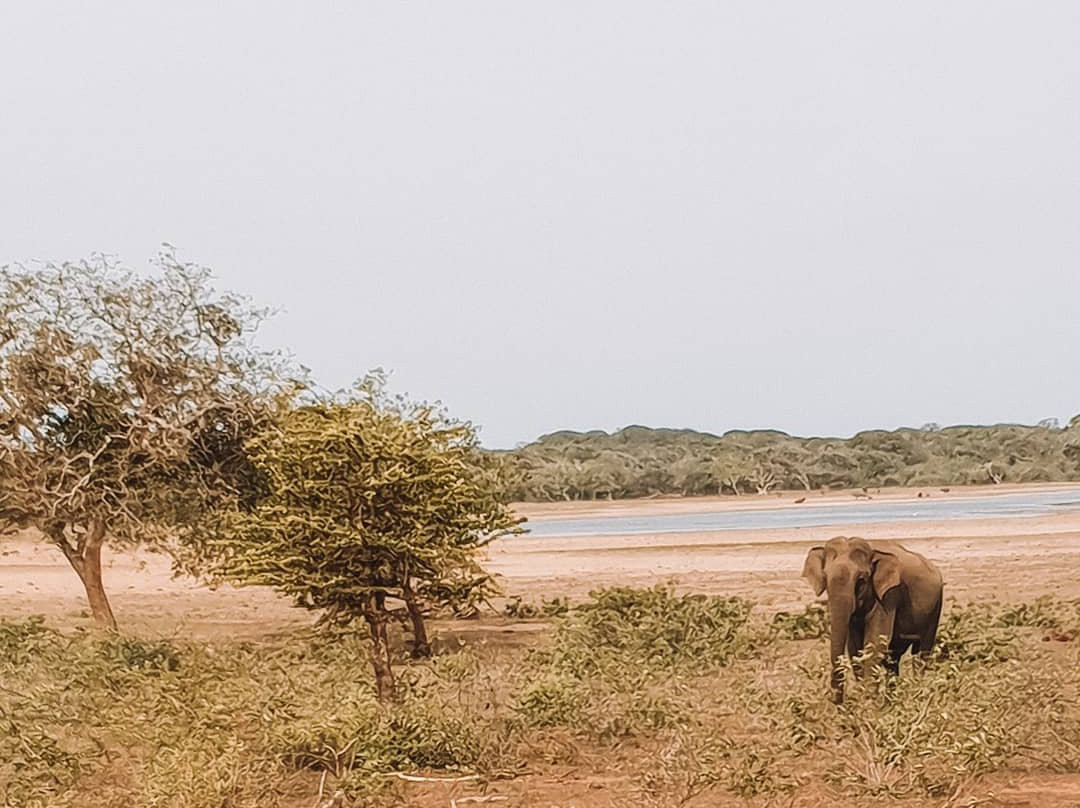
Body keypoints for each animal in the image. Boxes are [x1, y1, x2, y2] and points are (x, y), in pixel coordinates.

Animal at [803, 540, 946, 704]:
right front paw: (864, 699)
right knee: (893, 659)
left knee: (921, 654)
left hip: (935, 607)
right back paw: (891, 702)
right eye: (825, 579)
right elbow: (855, 648)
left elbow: (875, 641)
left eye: (861, 580)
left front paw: (868, 701)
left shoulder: (889, 595)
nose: (835, 701)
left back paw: (916, 697)